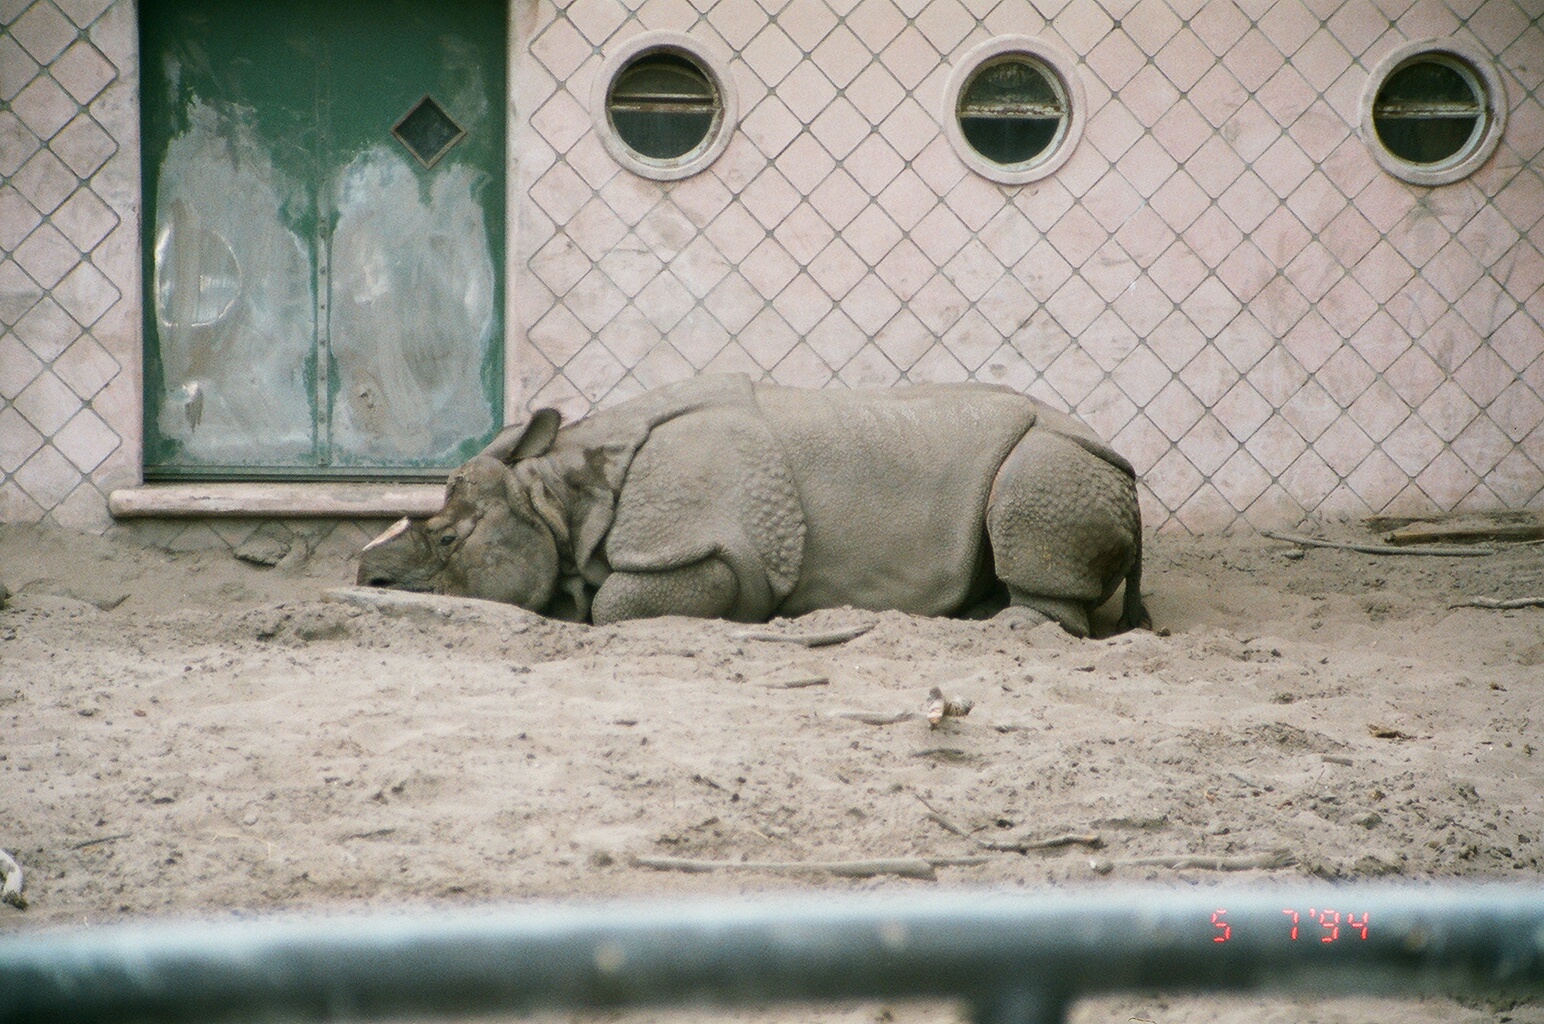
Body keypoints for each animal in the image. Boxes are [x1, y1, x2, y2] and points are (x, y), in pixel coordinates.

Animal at [357, 374, 1148, 637]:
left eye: (449, 543)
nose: (368, 581)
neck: (558, 496)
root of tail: (1126, 468)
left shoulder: (706, 544)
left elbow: (618, 603)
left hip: (1060, 459)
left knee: (1029, 497)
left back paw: (1004, 628)